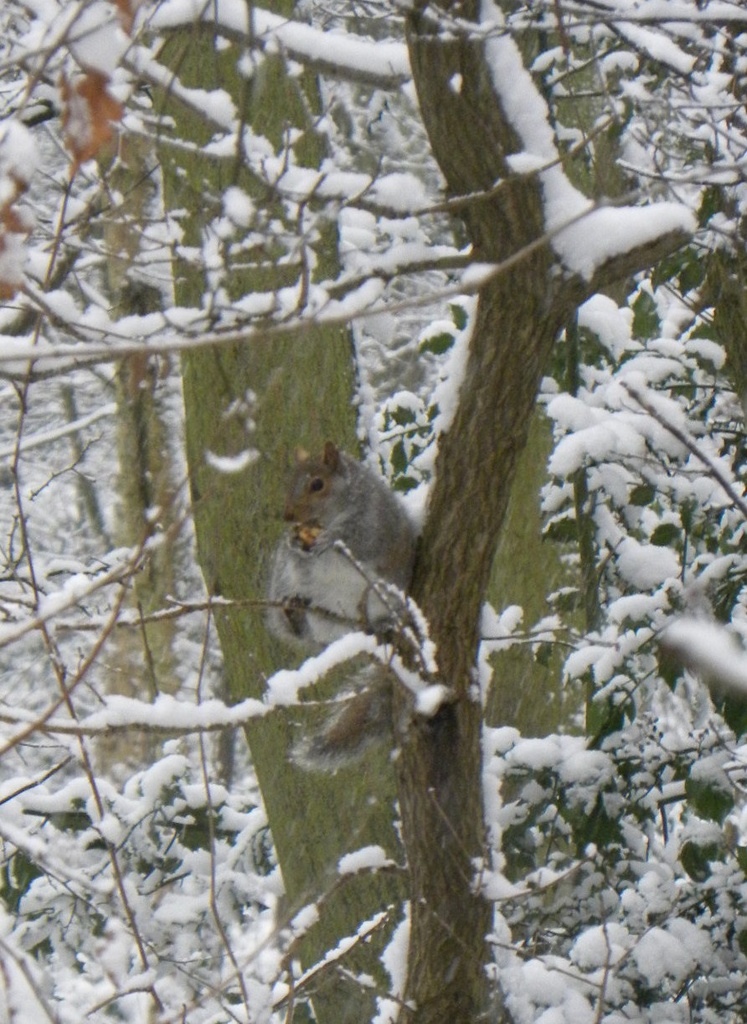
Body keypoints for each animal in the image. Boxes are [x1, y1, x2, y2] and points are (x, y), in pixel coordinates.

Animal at [266, 440, 420, 770]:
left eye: (317, 484)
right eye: (288, 481)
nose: (288, 516)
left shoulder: (375, 524)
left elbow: (359, 541)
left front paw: (330, 538)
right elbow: (297, 556)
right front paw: (293, 542)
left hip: (386, 595)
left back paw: (384, 625)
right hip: (318, 611)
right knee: (313, 633)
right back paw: (294, 614)